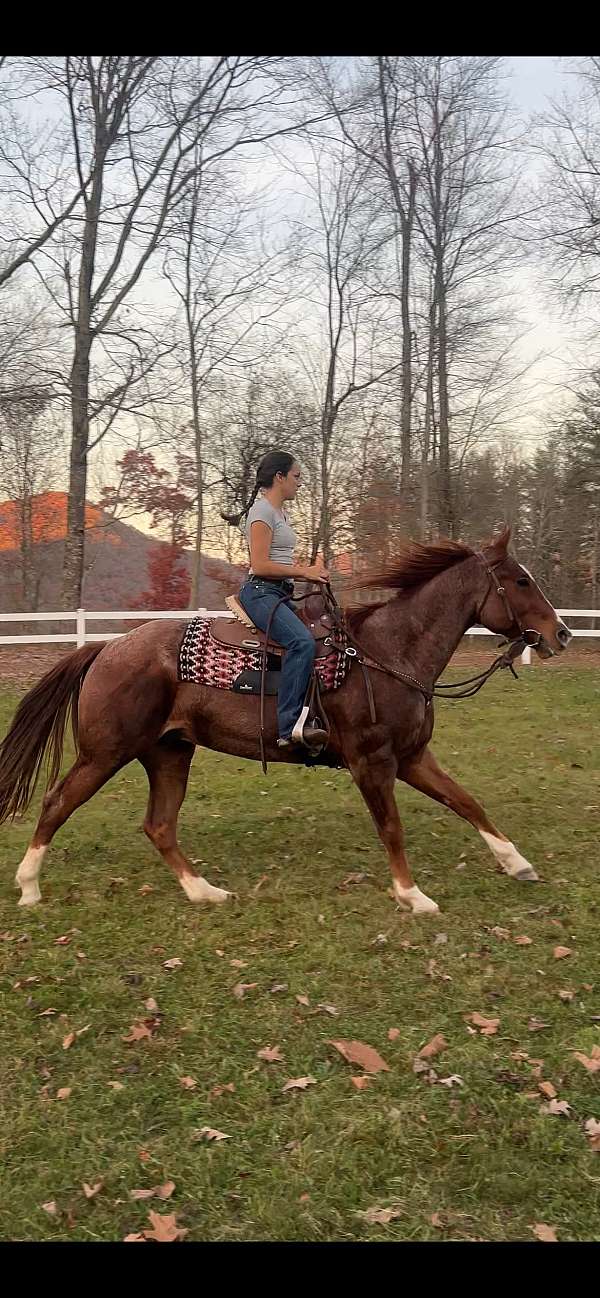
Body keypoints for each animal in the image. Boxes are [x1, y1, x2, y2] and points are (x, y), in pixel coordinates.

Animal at [0, 524, 571, 913]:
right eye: (521, 582)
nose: (561, 633)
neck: (387, 652)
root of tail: (107, 647)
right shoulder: (372, 763)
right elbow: (392, 826)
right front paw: (412, 896)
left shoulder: (411, 757)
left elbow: (467, 802)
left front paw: (516, 863)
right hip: (105, 753)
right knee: (56, 803)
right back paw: (28, 886)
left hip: (169, 753)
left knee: (159, 825)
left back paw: (204, 891)